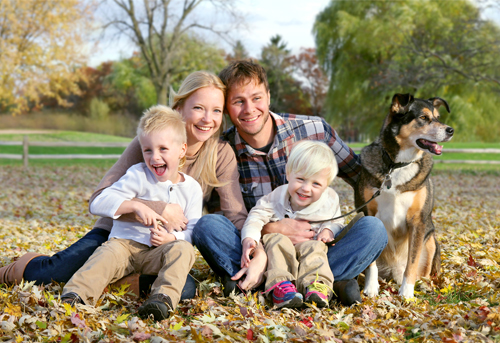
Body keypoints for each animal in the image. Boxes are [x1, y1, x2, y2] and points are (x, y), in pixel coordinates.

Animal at [356, 93, 454, 298]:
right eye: (423, 118)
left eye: (438, 117)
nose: (451, 130)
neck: (398, 164)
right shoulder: (368, 214)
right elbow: (371, 263)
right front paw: (371, 287)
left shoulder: (417, 220)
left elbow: (413, 261)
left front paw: (407, 293)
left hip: (431, 239)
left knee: (422, 271)